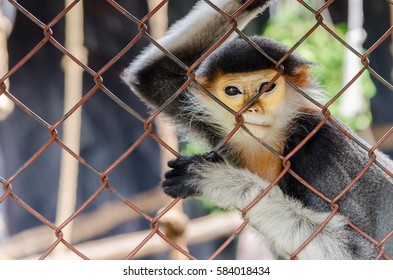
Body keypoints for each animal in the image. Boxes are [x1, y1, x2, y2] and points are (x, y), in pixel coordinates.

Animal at [120, 0, 392, 260]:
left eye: (267, 87)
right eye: (232, 91)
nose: (252, 109)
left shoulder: (316, 144)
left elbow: (359, 253)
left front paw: (215, 179)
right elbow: (153, 77)